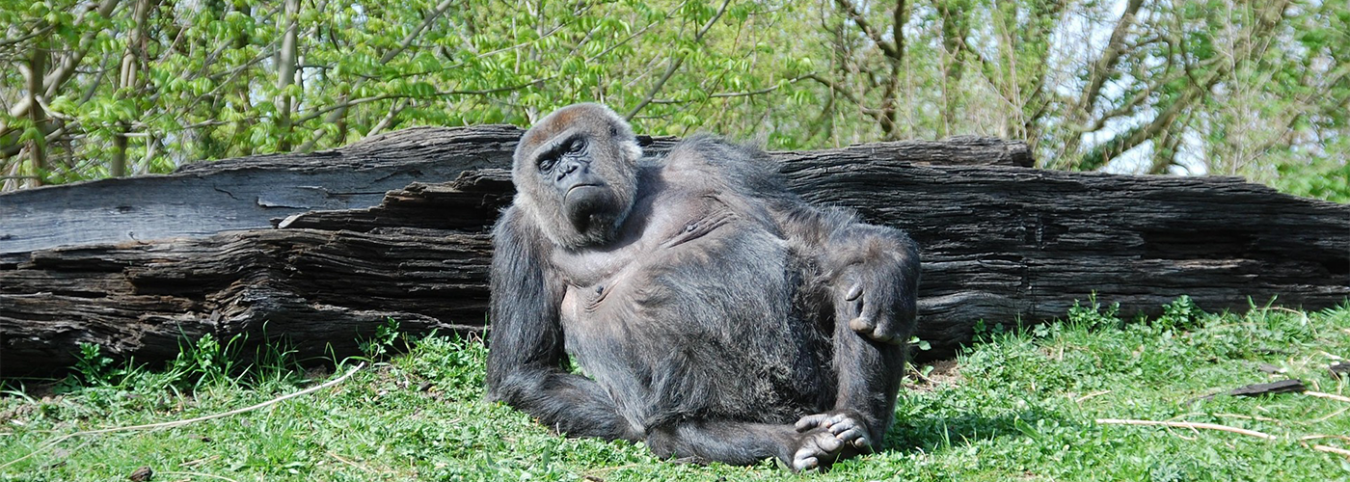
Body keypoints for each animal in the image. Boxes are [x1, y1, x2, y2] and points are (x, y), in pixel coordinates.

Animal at [486, 103, 920, 471]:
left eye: (575, 145)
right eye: (546, 163)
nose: (566, 172)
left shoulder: (712, 162)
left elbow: (811, 234)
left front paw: (887, 261)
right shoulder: (519, 236)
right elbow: (527, 370)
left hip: (819, 392)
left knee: (851, 284)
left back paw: (856, 417)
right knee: (672, 428)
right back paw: (789, 442)